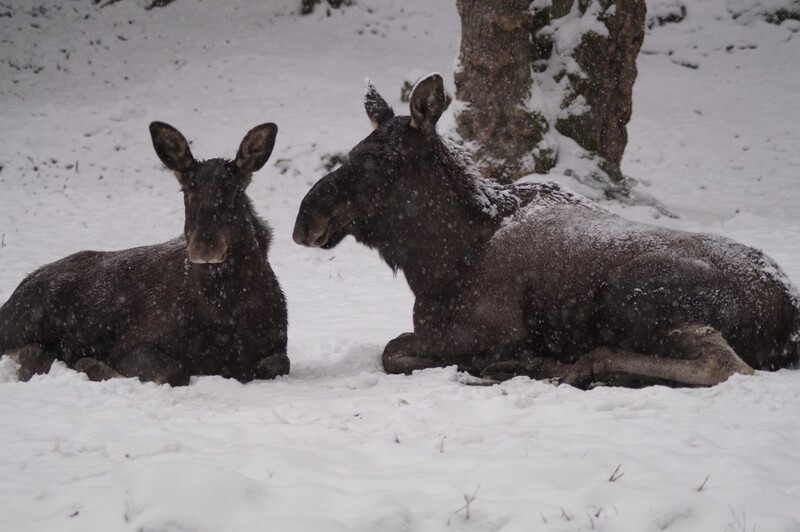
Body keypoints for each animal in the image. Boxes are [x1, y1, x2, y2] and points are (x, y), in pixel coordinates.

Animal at [0, 122, 292, 384]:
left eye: (238, 190)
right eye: (187, 190)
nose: (205, 247)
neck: (224, 316)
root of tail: (12, 298)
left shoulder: (276, 349)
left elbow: (278, 363)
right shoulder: (131, 346)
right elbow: (174, 372)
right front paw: (90, 365)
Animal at [294, 72, 800, 388]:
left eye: (379, 159)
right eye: (355, 151)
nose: (304, 220)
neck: (436, 263)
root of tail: (788, 309)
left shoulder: (490, 327)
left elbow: (393, 350)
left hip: (631, 298)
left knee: (725, 362)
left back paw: (574, 367)